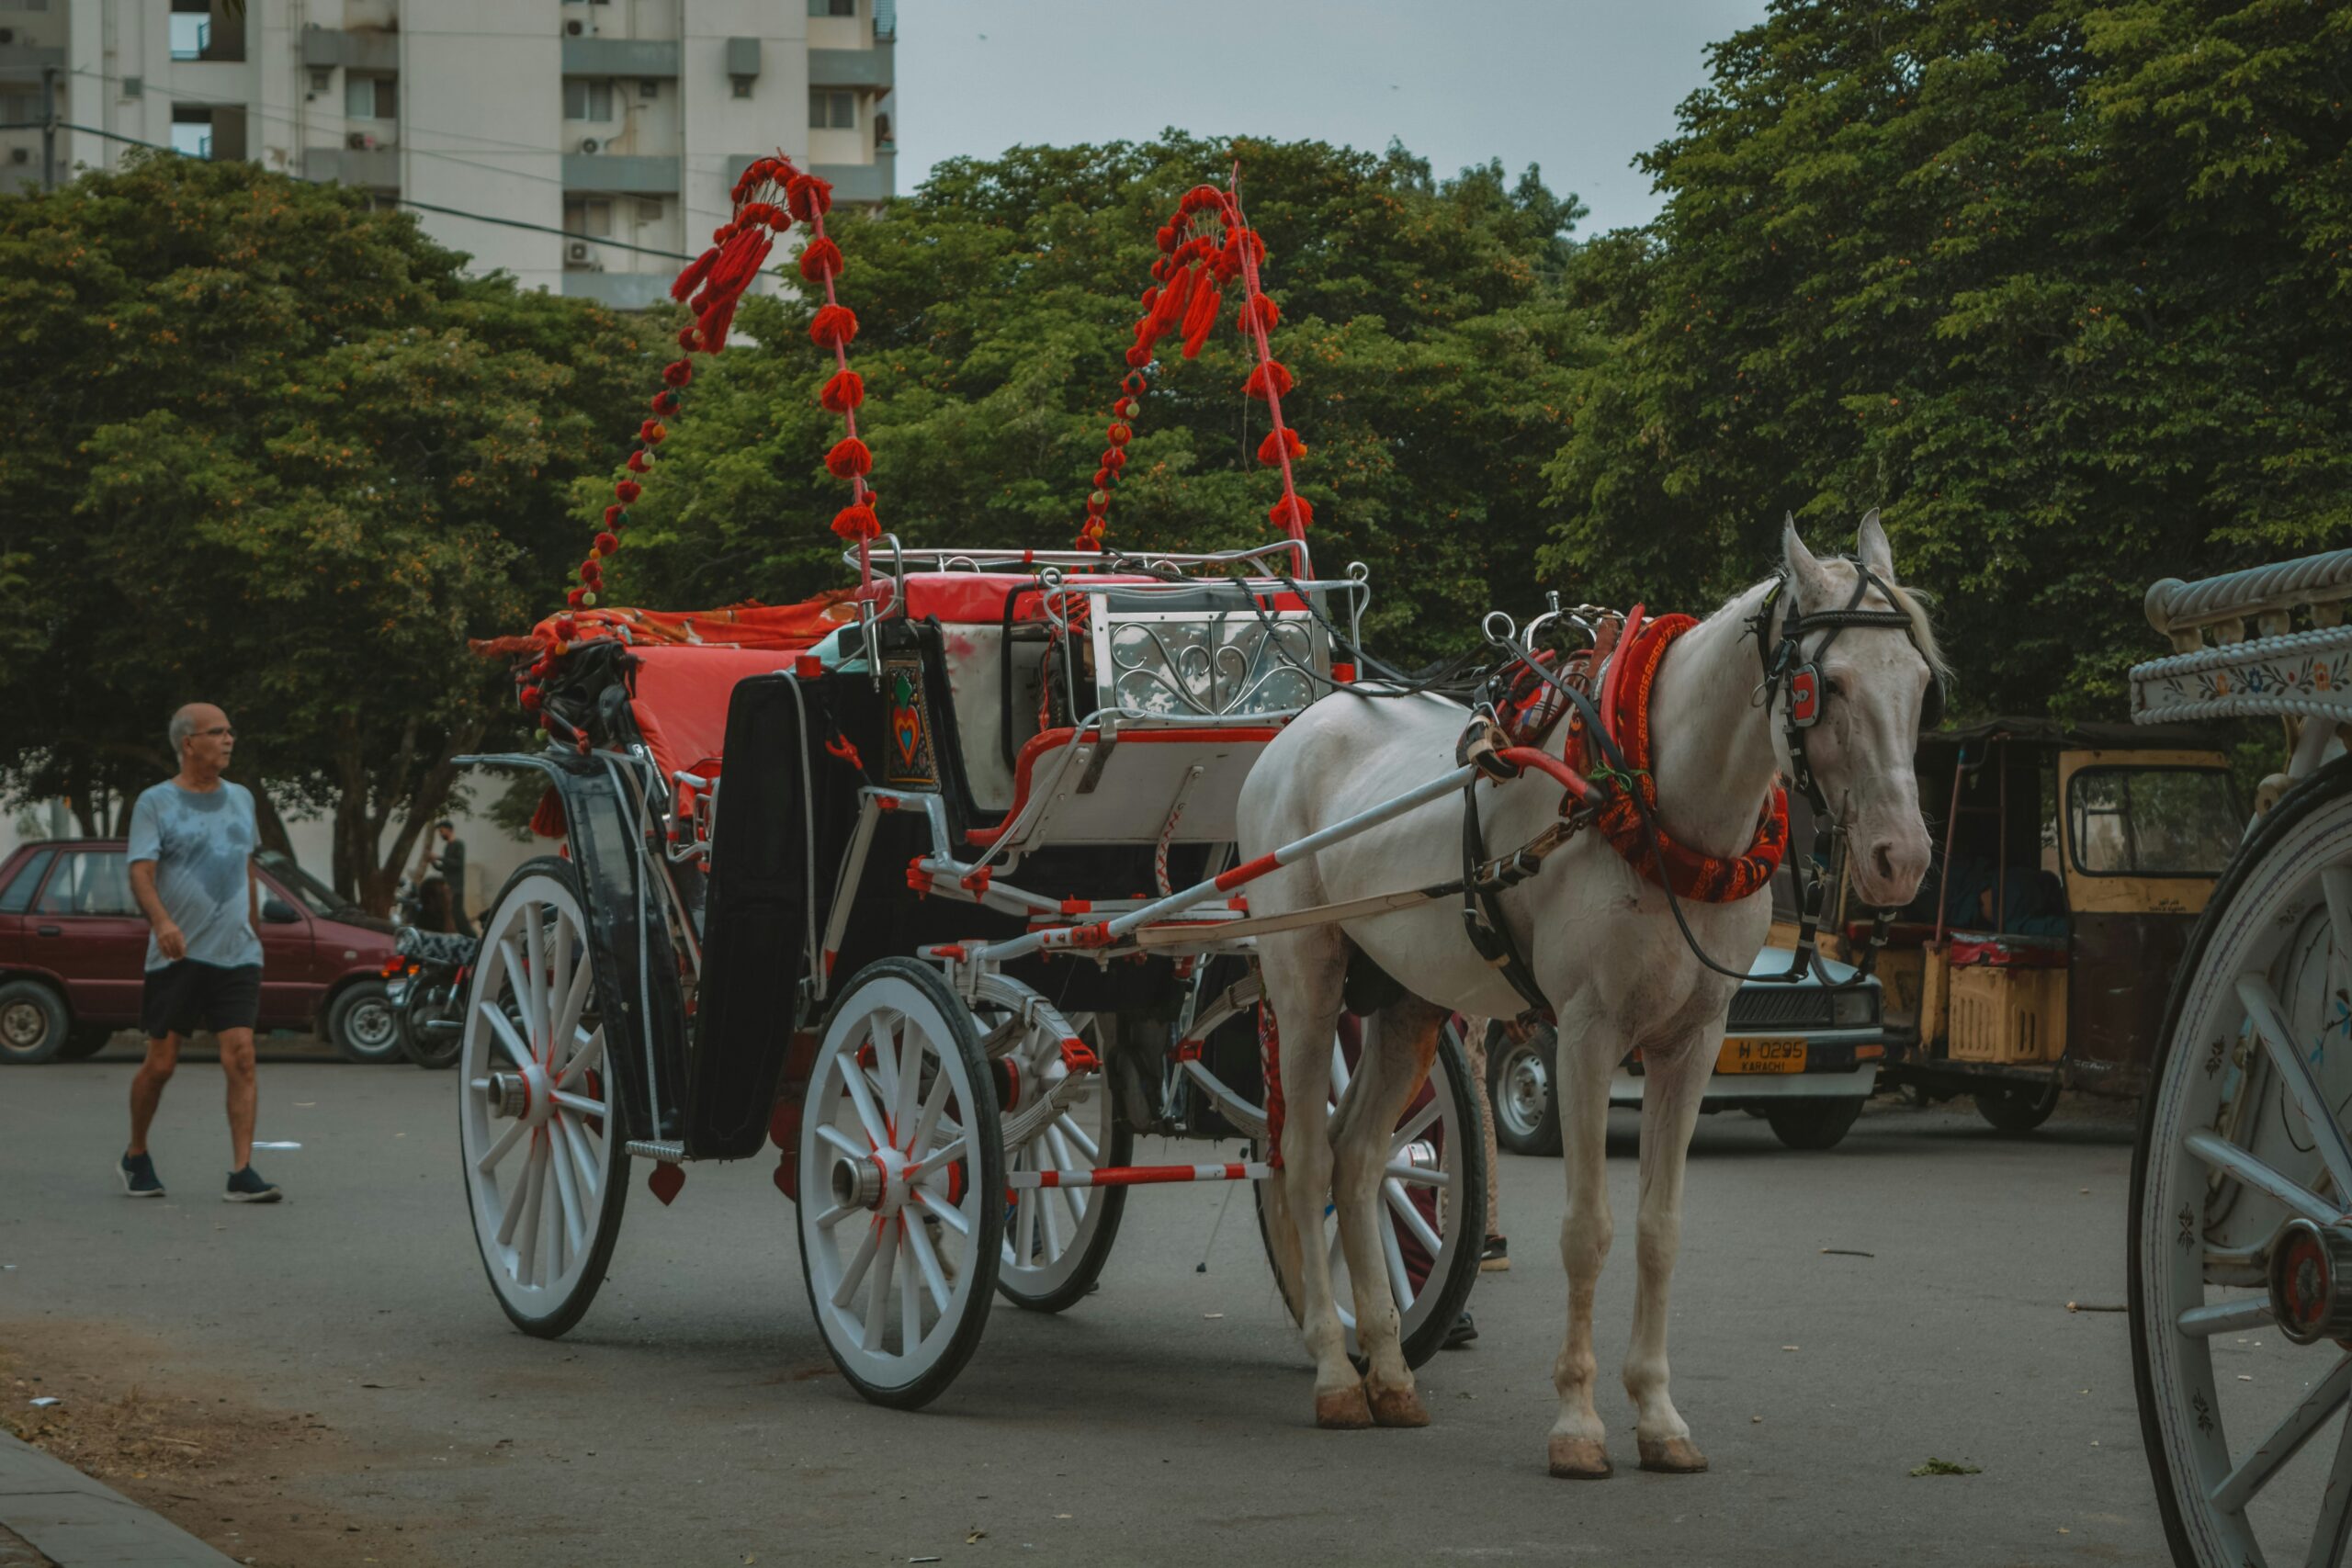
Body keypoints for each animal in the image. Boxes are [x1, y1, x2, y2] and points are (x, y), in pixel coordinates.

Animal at [1241, 514, 1938, 1476]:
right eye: (1825, 684)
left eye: (1919, 683)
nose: (1900, 858)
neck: (1651, 802)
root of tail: (1299, 724)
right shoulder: (1582, 1035)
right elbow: (1587, 1229)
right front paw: (1577, 1420)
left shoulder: (1694, 1041)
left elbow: (1658, 1228)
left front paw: (1658, 1415)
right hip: (1305, 973)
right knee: (1305, 1156)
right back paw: (1336, 1373)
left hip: (1409, 999)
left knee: (1359, 1159)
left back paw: (1387, 1367)